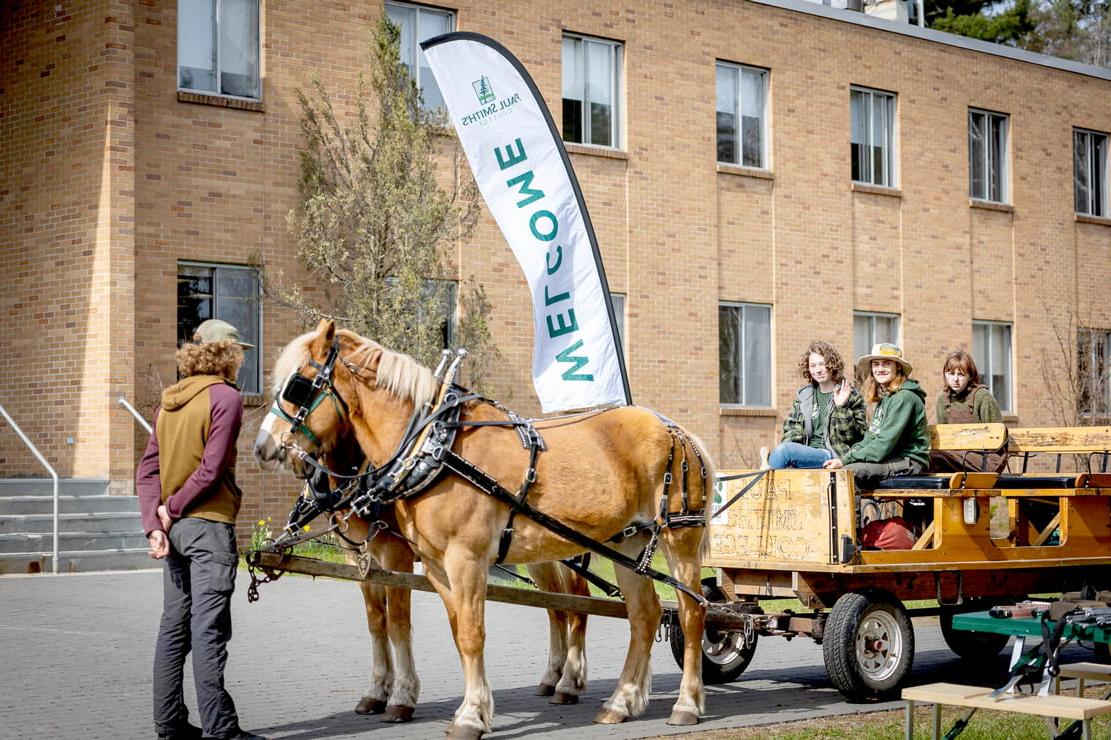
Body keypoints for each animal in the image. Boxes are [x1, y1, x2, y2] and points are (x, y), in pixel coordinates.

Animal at [254, 320, 711, 733]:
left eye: (298, 385)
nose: (263, 446)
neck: (432, 448)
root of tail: (678, 431)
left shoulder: (458, 559)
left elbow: (453, 631)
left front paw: (463, 714)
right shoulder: (429, 565)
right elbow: (442, 630)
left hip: (678, 538)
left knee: (689, 612)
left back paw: (684, 704)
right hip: (625, 543)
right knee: (641, 615)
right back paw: (620, 701)